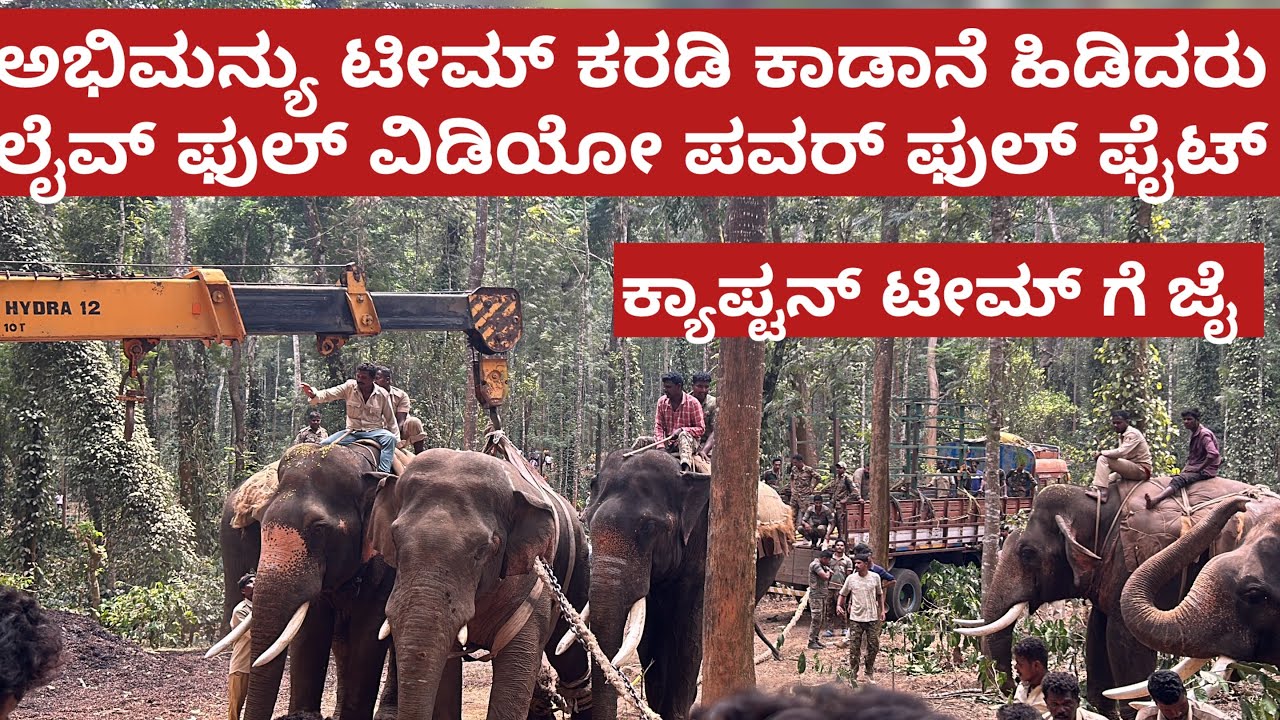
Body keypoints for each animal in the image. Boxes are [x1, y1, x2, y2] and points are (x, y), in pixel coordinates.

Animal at [364, 446, 592, 720]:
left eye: (484, 549)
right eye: (395, 539)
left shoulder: (531, 586)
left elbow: (516, 671)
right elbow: (446, 673)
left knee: (571, 659)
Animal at [959, 476, 1259, 719]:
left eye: (1027, 552)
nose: (1012, 687)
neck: (1095, 503)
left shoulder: (1134, 560)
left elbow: (1122, 637)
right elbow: (1096, 630)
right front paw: (1100, 707)